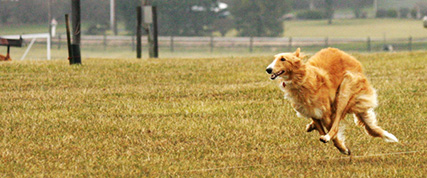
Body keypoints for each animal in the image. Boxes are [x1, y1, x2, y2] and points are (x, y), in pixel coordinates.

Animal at [266, 48, 400, 155]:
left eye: (283, 59)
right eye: (275, 58)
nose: (268, 69)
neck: (303, 80)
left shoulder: (325, 112)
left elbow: (333, 132)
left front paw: (343, 148)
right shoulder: (313, 112)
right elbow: (321, 129)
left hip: (344, 91)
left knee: (336, 122)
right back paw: (311, 127)